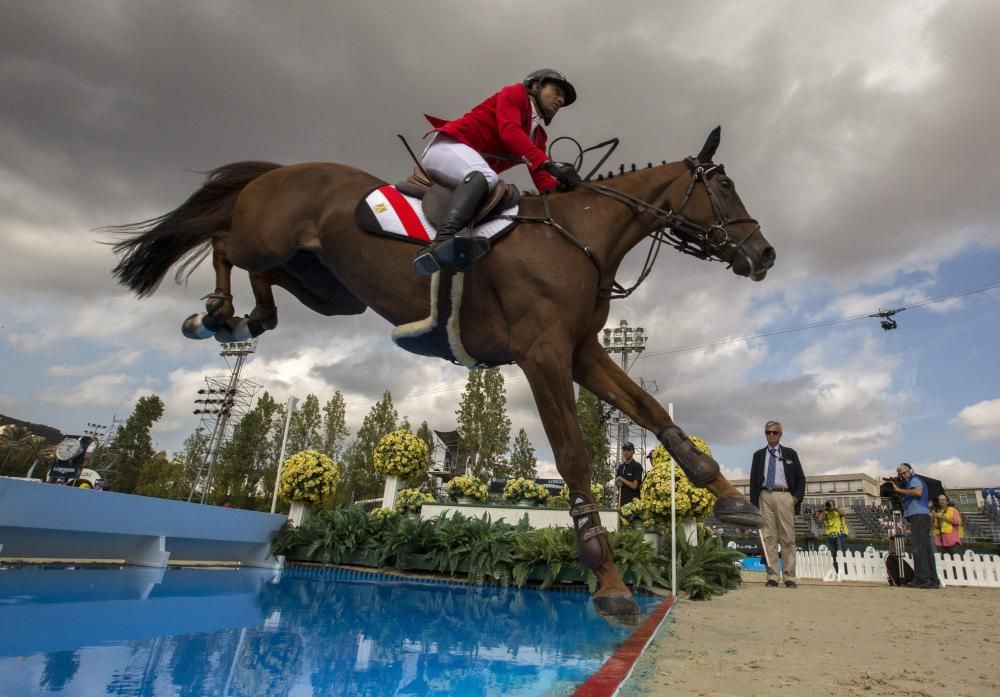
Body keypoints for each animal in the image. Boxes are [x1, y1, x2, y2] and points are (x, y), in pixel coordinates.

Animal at [113, 128, 776, 624]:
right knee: (225, 242)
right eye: (723, 185)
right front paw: (608, 579)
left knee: (267, 288)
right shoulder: (543, 354)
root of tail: (280, 170)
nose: (764, 254)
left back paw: (243, 318)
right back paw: (213, 314)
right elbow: (572, 456)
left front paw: (733, 500)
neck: (579, 238)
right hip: (269, 240)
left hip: (327, 289)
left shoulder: (582, 352)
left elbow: (654, 414)